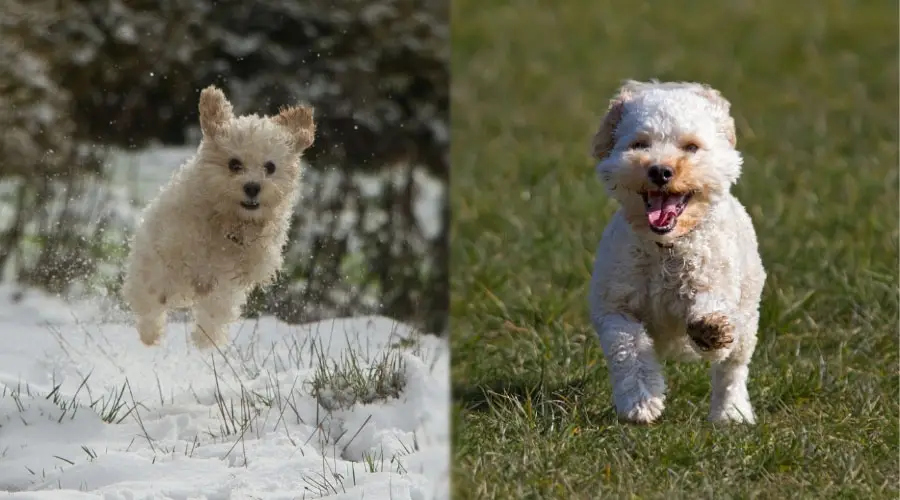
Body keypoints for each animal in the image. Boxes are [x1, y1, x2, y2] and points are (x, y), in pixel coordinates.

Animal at [119, 85, 316, 348]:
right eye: (234, 164)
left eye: (270, 167)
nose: (252, 187)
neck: (230, 222)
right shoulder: (175, 246)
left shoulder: (233, 278)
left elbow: (216, 309)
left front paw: (206, 343)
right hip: (148, 264)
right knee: (149, 301)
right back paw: (150, 336)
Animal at [592, 80, 768, 424]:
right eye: (639, 144)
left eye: (691, 147)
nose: (660, 171)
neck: (666, 247)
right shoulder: (614, 306)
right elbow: (627, 347)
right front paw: (640, 402)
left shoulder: (716, 285)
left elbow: (715, 325)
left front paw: (710, 329)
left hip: (748, 313)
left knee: (733, 369)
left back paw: (731, 414)